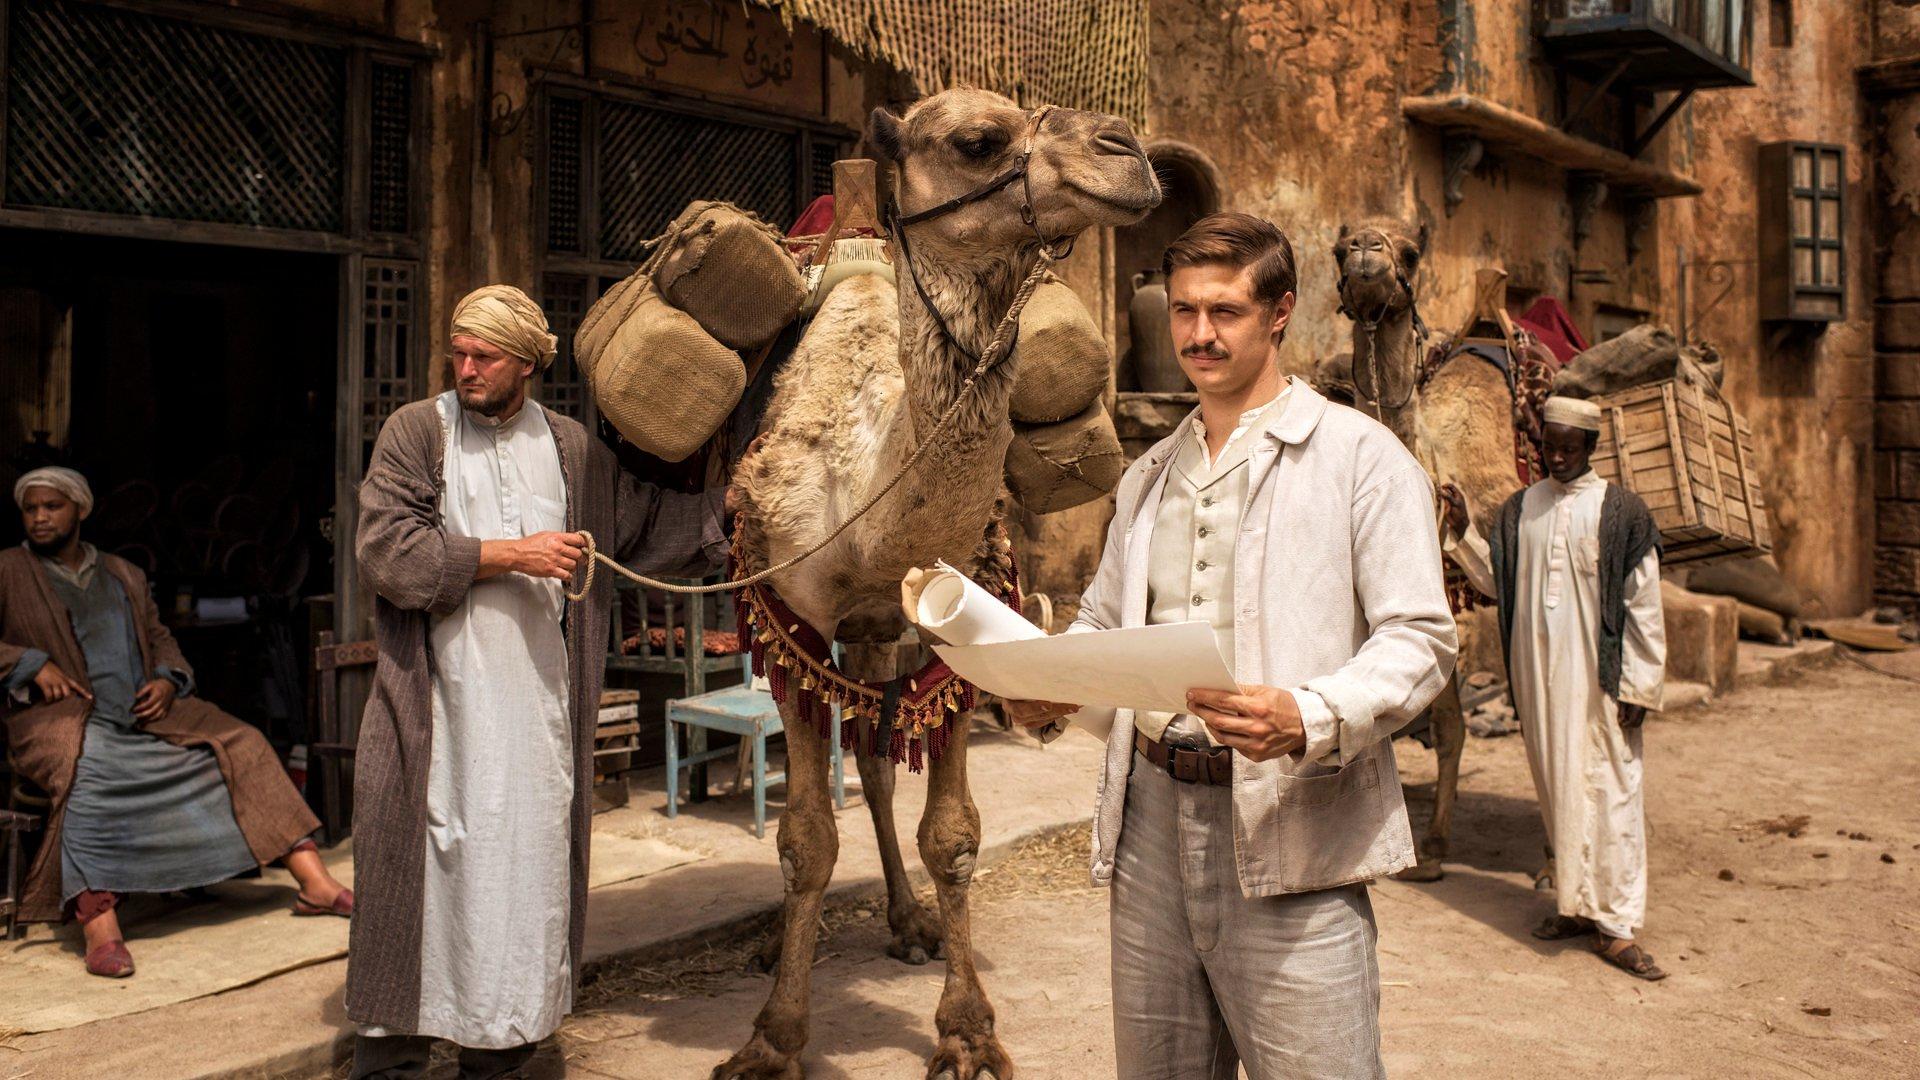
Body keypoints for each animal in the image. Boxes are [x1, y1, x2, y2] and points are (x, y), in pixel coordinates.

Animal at [714, 85, 1152, 1076]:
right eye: (979, 140)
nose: (1132, 152)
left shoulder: (951, 625)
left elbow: (952, 836)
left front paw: (969, 1032)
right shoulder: (792, 619)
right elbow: (805, 838)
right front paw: (773, 1036)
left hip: (884, 632)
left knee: (878, 767)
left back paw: (908, 922)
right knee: (854, 776)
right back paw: (780, 947)